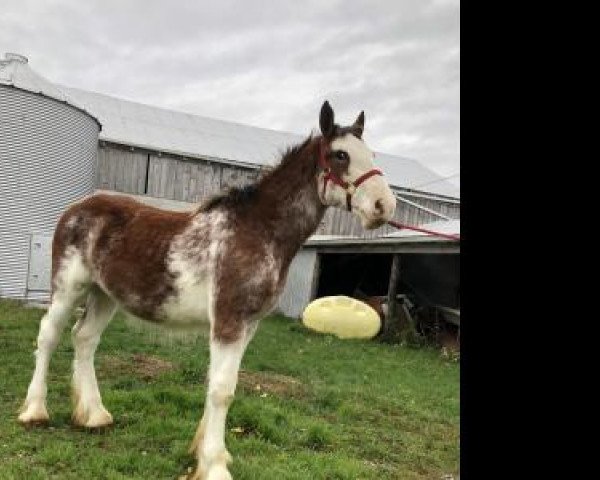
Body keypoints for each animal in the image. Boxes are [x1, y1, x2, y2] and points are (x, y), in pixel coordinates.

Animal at [17, 101, 398, 480]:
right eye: (340, 155)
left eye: (371, 154)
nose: (384, 206)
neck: (258, 231)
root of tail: (76, 208)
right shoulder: (229, 320)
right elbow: (221, 390)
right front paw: (214, 464)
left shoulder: (248, 325)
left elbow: (222, 385)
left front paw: (206, 454)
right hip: (69, 287)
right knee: (49, 335)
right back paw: (35, 411)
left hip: (104, 295)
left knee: (84, 339)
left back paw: (94, 416)